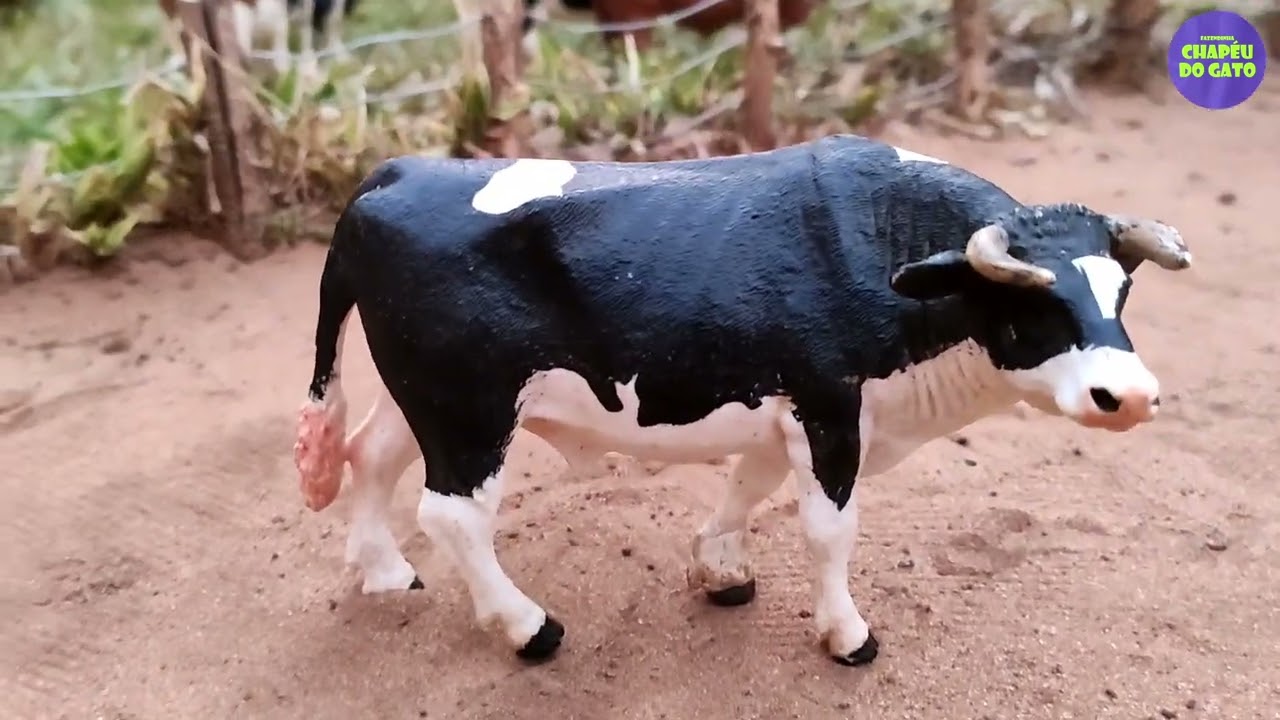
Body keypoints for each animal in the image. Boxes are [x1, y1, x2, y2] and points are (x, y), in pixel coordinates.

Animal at [293, 134, 1192, 666]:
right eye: (1032, 304)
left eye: (1121, 293)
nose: (1128, 394)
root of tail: (400, 171)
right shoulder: (830, 406)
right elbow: (830, 531)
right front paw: (847, 634)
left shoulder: (784, 407)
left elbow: (747, 485)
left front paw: (719, 568)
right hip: (470, 406)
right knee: (454, 514)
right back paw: (528, 627)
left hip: (424, 397)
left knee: (369, 452)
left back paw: (383, 572)